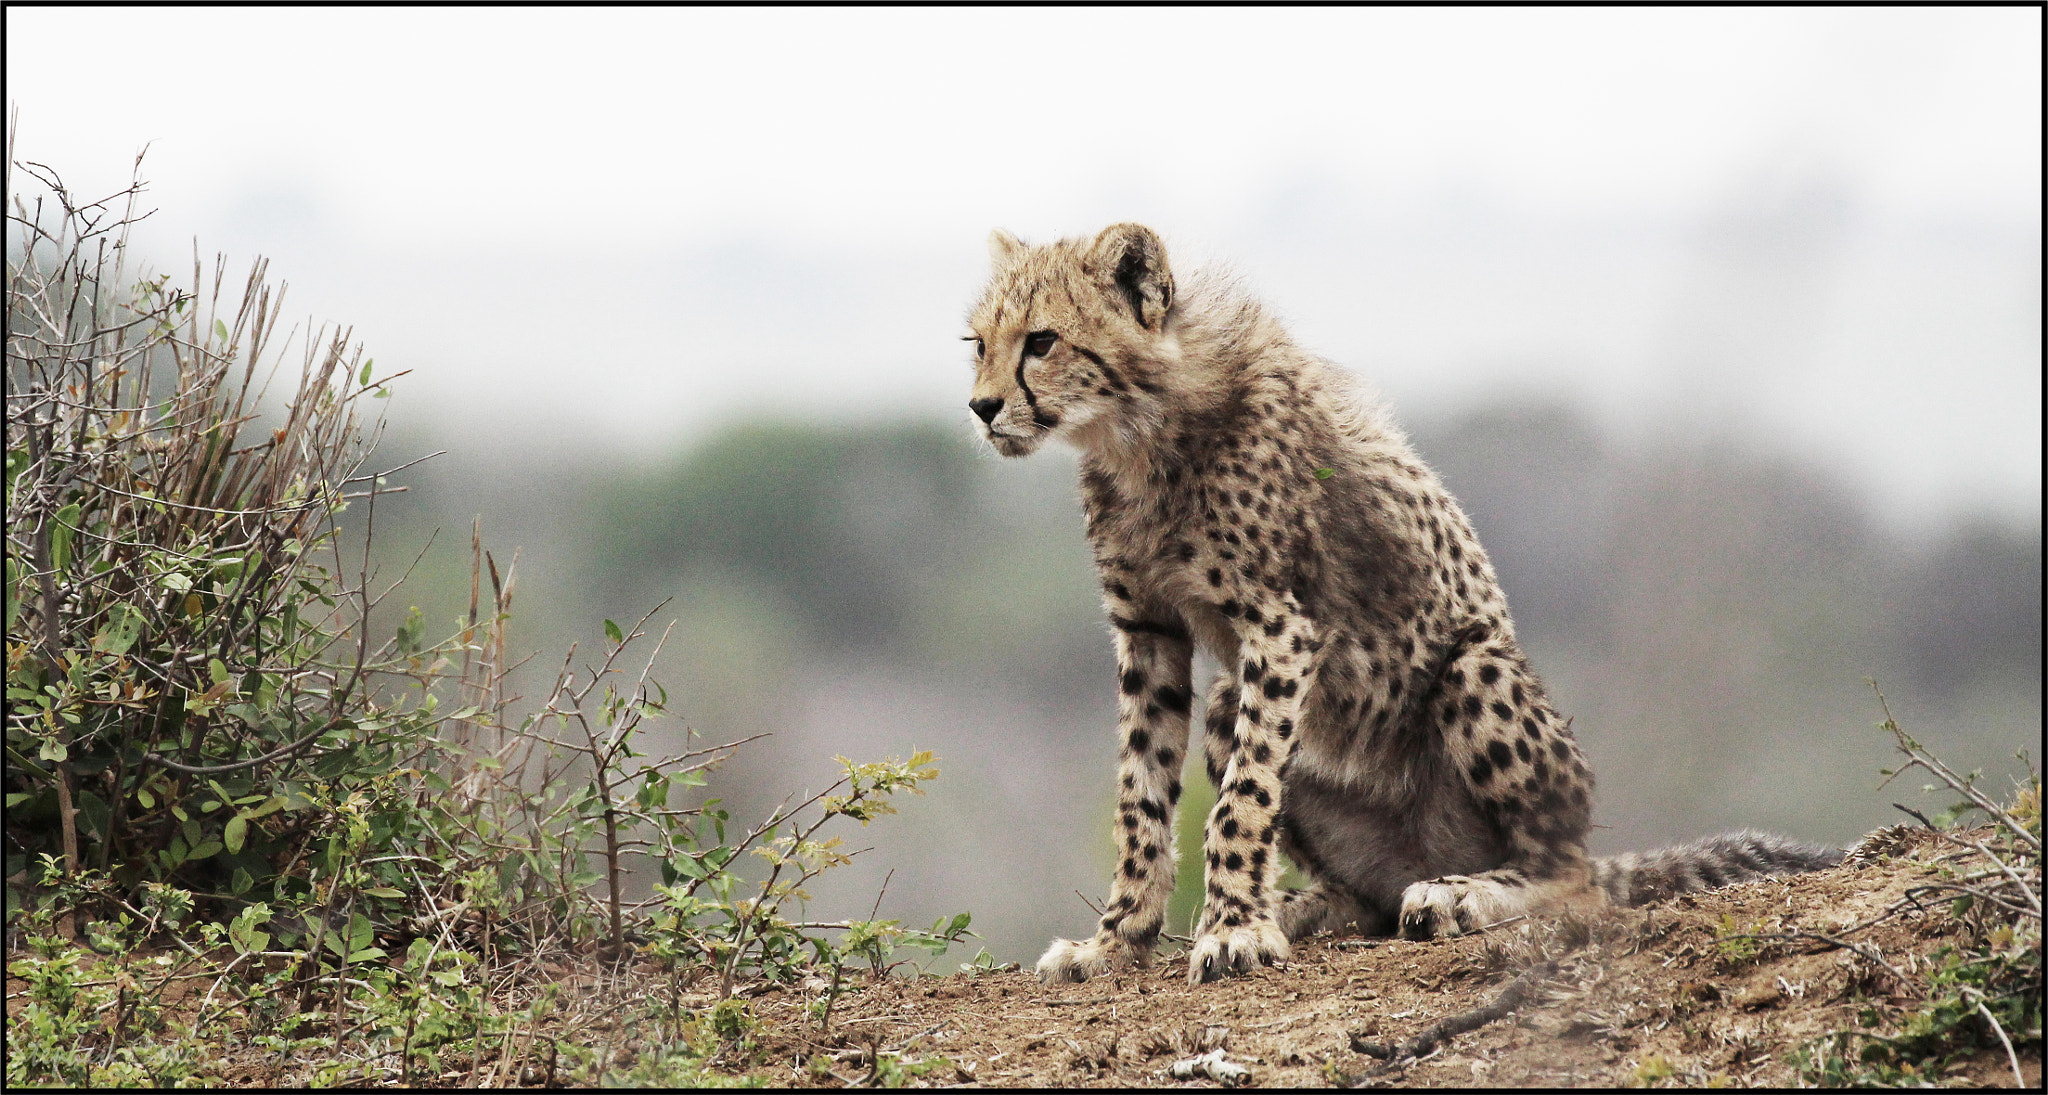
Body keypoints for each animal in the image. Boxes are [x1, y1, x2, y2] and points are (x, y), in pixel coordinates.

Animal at [962, 223, 1842, 986]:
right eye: (978, 344)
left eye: (1042, 341)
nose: (981, 408)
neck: (1136, 430)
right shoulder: (1148, 632)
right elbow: (1140, 800)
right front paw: (1118, 940)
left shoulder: (1281, 625)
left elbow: (1241, 801)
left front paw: (1233, 929)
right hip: (1234, 709)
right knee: (1367, 892)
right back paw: (1312, 904)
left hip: (1475, 673)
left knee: (1569, 876)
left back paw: (1464, 893)